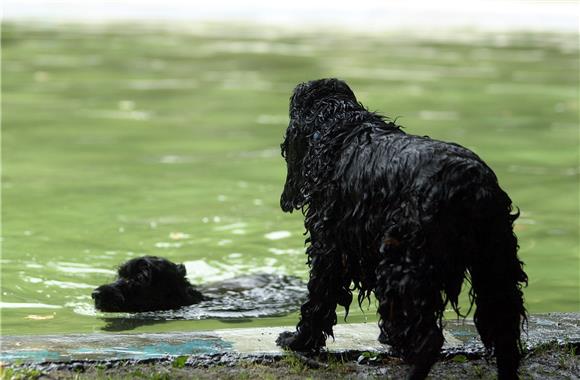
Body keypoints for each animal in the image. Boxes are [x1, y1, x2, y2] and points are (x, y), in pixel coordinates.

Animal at [278, 78, 532, 378]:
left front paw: (298, 341)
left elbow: (317, 300)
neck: (341, 127)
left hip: (404, 266)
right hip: (495, 265)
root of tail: (471, 184)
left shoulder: (329, 249)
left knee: (429, 339)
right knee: (505, 332)